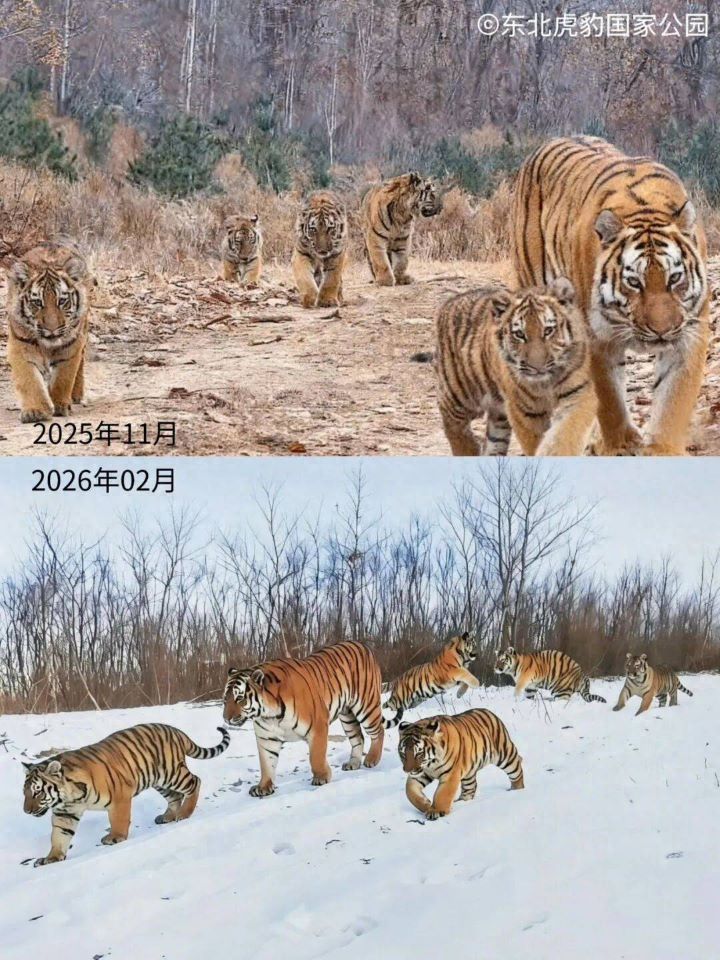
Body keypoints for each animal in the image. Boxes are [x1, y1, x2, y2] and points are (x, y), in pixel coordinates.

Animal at [6, 240, 91, 423]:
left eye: (62, 301)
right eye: (37, 302)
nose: (51, 329)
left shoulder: (71, 346)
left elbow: (63, 378)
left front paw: (60, 405)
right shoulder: (20, 347)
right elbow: (29, 380)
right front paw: (35, 411)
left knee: (80, 362)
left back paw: (76, 396)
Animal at [22, 723, 229, 866]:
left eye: (37, 792)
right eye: (25, 793)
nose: (26, 811)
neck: (70, 796)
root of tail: (175, 730)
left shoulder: (120, 796)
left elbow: (118, 820)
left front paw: (115, 838)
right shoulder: (65, 812)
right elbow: (59, 836)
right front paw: (51, 858)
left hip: (172, 773)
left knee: (195, 781)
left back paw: (184, 813)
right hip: (160, 781)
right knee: (175, 796)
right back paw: (167, 816)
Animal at [223, 640, 403, 797]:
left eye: (240, 699)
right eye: (225, 699)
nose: (225, 718)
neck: (269, 715)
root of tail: (363, 645)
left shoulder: (318, 726)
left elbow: (315, 756)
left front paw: (321, 777)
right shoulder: (267, 738)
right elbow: (266, 764)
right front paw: (263, 787)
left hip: (366, 706)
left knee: (378, 731)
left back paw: (372, 759)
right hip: (347, 715)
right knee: (358, 737)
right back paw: (353, 763)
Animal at [435, 277, 596, 456]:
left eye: (548, 330)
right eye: (519, 334)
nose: (537, 367)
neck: (546, 382)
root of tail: (450, 302)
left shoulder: (578, 394)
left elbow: (566, 434)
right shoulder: (525, 411)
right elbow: (535, 442)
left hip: (498, 417)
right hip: (459, 394)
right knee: (452, 423)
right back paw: (467, 448)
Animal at [513, 135, 709, 456]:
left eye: (675, 278)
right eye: (633, 282)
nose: (662, 330)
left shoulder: (690, 332)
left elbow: (674, 399)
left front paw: (663, 449)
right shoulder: (595, 337)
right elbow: (609, 399)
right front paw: (621, 445)